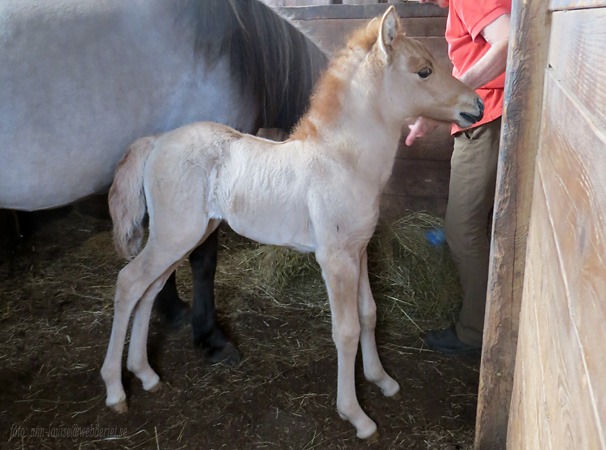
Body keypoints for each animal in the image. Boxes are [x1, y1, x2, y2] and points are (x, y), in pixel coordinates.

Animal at [101, 7, 484, 440]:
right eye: (423, 70)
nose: (476, 105)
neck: (343, 161)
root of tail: (157, 141)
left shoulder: (359, 251)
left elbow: (369, 313)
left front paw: (382, 381)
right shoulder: (334, 259)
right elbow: (346, 330)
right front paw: (356, 415)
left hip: (185, 236)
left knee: (148, 290)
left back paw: (146, 374)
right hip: (174, 235)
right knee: (129, 283)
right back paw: (116, 390)